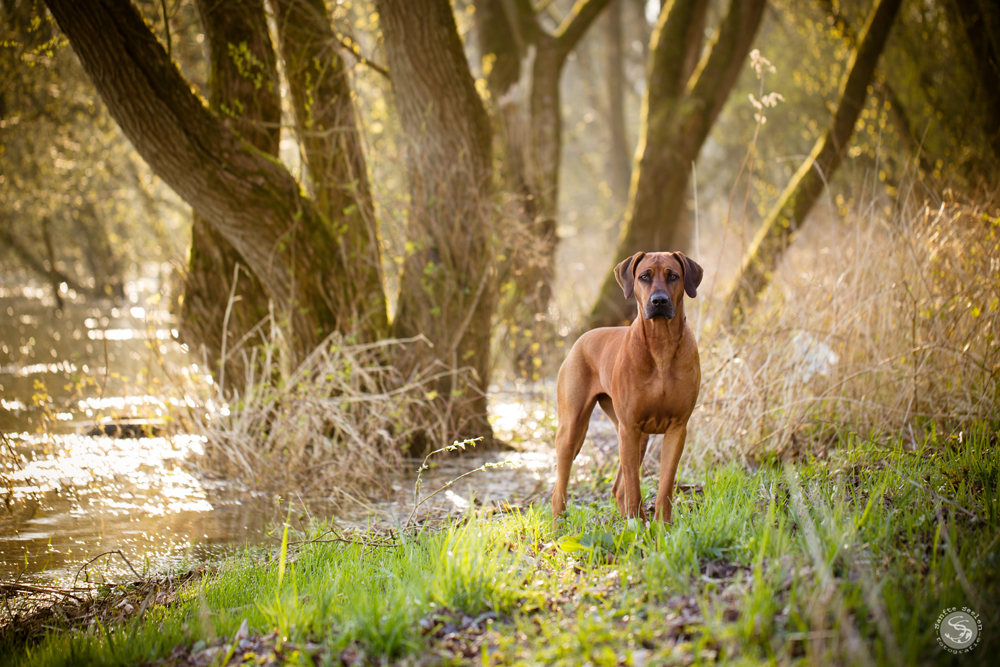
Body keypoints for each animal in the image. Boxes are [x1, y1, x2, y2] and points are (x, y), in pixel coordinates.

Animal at [548, 250, 704, 520]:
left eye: (673, 276)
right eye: (644, 277)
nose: (659, 301)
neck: (661, 343)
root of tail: (582, 338)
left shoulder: (677, 428)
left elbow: (665, 485)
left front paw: (662, 525)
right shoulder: (629, 427)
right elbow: (633, 485)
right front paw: (638, 525)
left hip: (635, 435)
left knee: (617, 488)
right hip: (573, 429)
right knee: (560, 489)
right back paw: (560, 526)